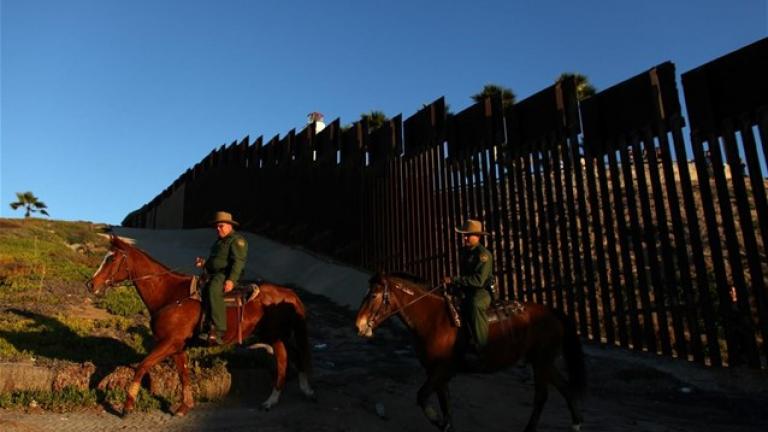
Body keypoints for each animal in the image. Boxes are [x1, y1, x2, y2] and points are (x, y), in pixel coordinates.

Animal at [84, 236, 312, 416]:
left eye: (112, 258)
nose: (91, 284)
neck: (171, 295)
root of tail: (289, 293)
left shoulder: (168, 343)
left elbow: (142, 366)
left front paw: (127, 406)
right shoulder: (177, 347)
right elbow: (183, 374)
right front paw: (185, 406)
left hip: (275, 336)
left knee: (283, 360)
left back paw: (271, 400)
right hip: (278, 335)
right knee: (296, 355)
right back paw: (305, 389)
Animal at [356, 274, 584, 432]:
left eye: (374, 295)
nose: (359, 325)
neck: (434, 320)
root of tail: (553, 312)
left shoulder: (442, 370)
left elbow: (422, 397)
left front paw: (438, 421)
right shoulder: (436, 372)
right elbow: (445, 403)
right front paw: (446, 425)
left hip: (541, 362)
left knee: (542, 396)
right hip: (544, 362)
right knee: (565, 388)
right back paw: (576, 424)